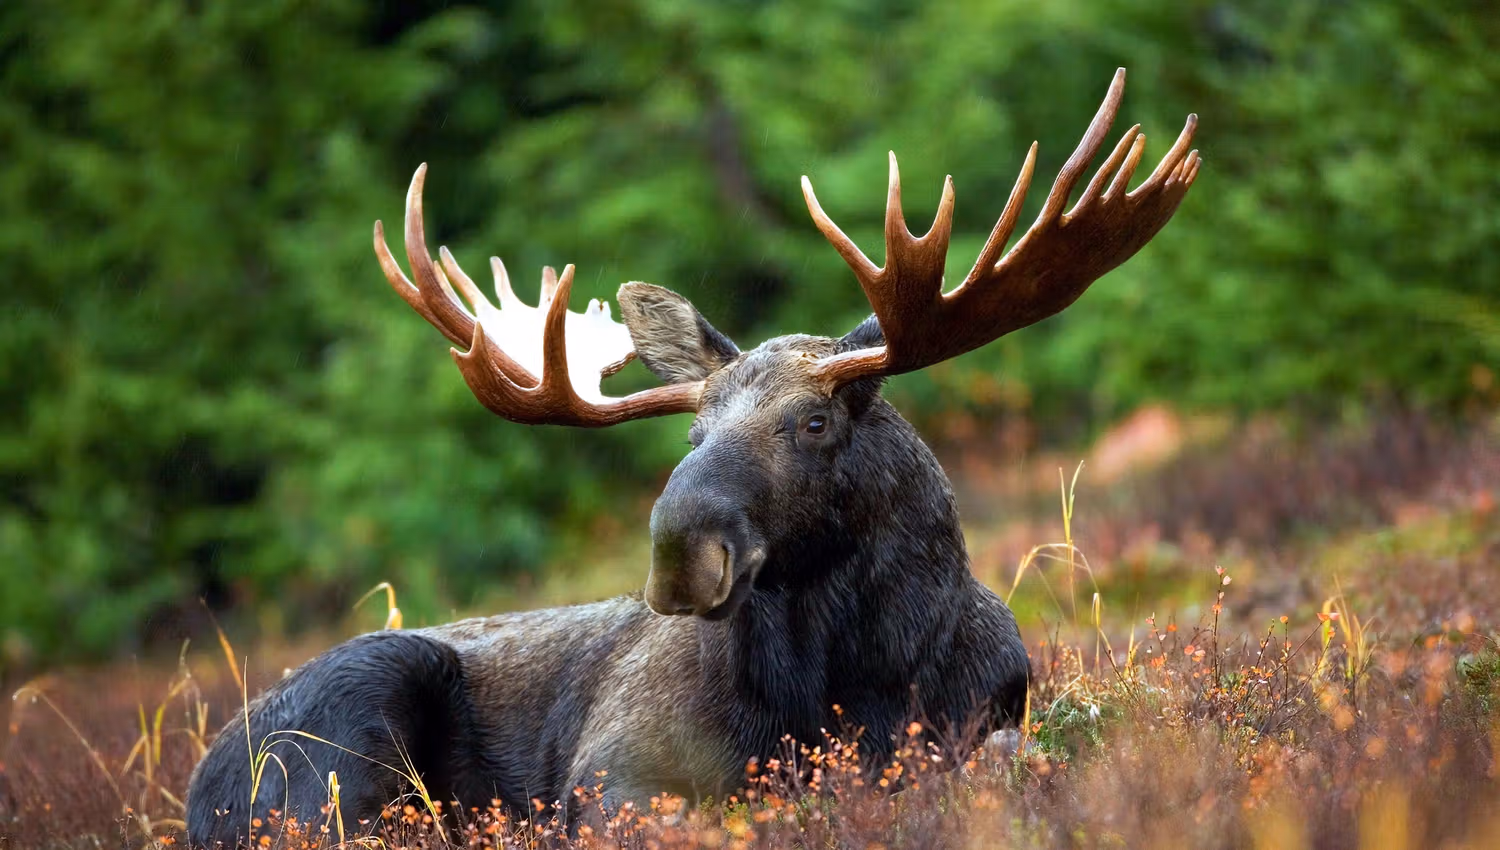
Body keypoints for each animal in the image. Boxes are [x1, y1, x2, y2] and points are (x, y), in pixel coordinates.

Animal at [185, 68, 1199, 846]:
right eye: (692, 434)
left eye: (814, 423)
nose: (680, 551)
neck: (852, 680)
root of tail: (198, 789)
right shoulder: (614, 775)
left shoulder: (986, 721)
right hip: (346, 730)